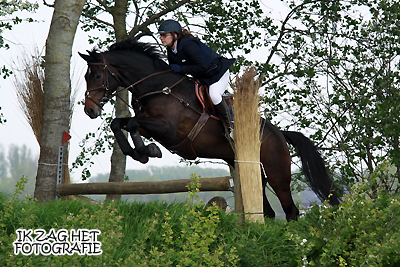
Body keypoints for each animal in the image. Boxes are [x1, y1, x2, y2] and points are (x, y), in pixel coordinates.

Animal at [79, 38, 340, 222]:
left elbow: (131, 124)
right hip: (251, 171)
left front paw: (147, 152)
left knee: (290, 210)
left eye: (96, 75)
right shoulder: (149, 125)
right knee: (267, 211)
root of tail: (279, 133)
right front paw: (139, 152)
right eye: (86, 76)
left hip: (277, 171)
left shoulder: (169, 129)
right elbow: (118, 124)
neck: (157, 86)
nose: (89, 110)